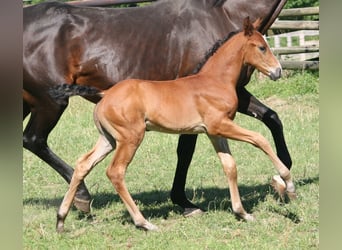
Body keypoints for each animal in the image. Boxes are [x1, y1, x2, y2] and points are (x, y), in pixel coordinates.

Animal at [22, 0, 290, 215]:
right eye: (262, 47)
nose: (278, 71)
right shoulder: (208, 113)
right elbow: (188, 150)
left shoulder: (227, 106)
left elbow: (271, 118)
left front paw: (283, 177)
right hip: (51, 103)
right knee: (34, 139)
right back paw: (83, 196)